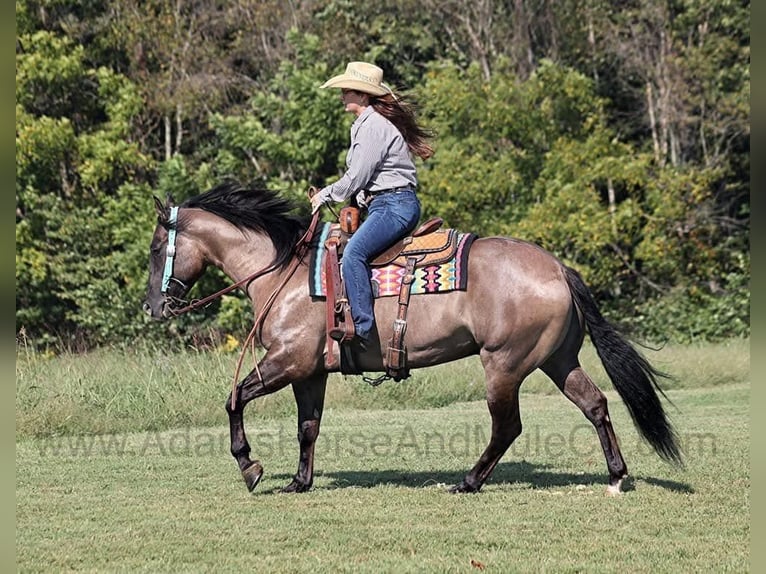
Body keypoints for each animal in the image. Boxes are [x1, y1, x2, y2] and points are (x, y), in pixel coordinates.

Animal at [144, 182, 684, 498]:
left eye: (154, 249)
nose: (153, 307)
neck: (285, 274)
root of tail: (557, 268)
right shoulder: (309, 372)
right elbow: (307, 427)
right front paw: (300, 481)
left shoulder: (286, 362)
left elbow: (234, 398)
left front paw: (249, 466)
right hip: (558, 360)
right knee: (595, 405)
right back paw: (616, 476)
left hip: (505, 364)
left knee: (507, 426)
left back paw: (468, 482)